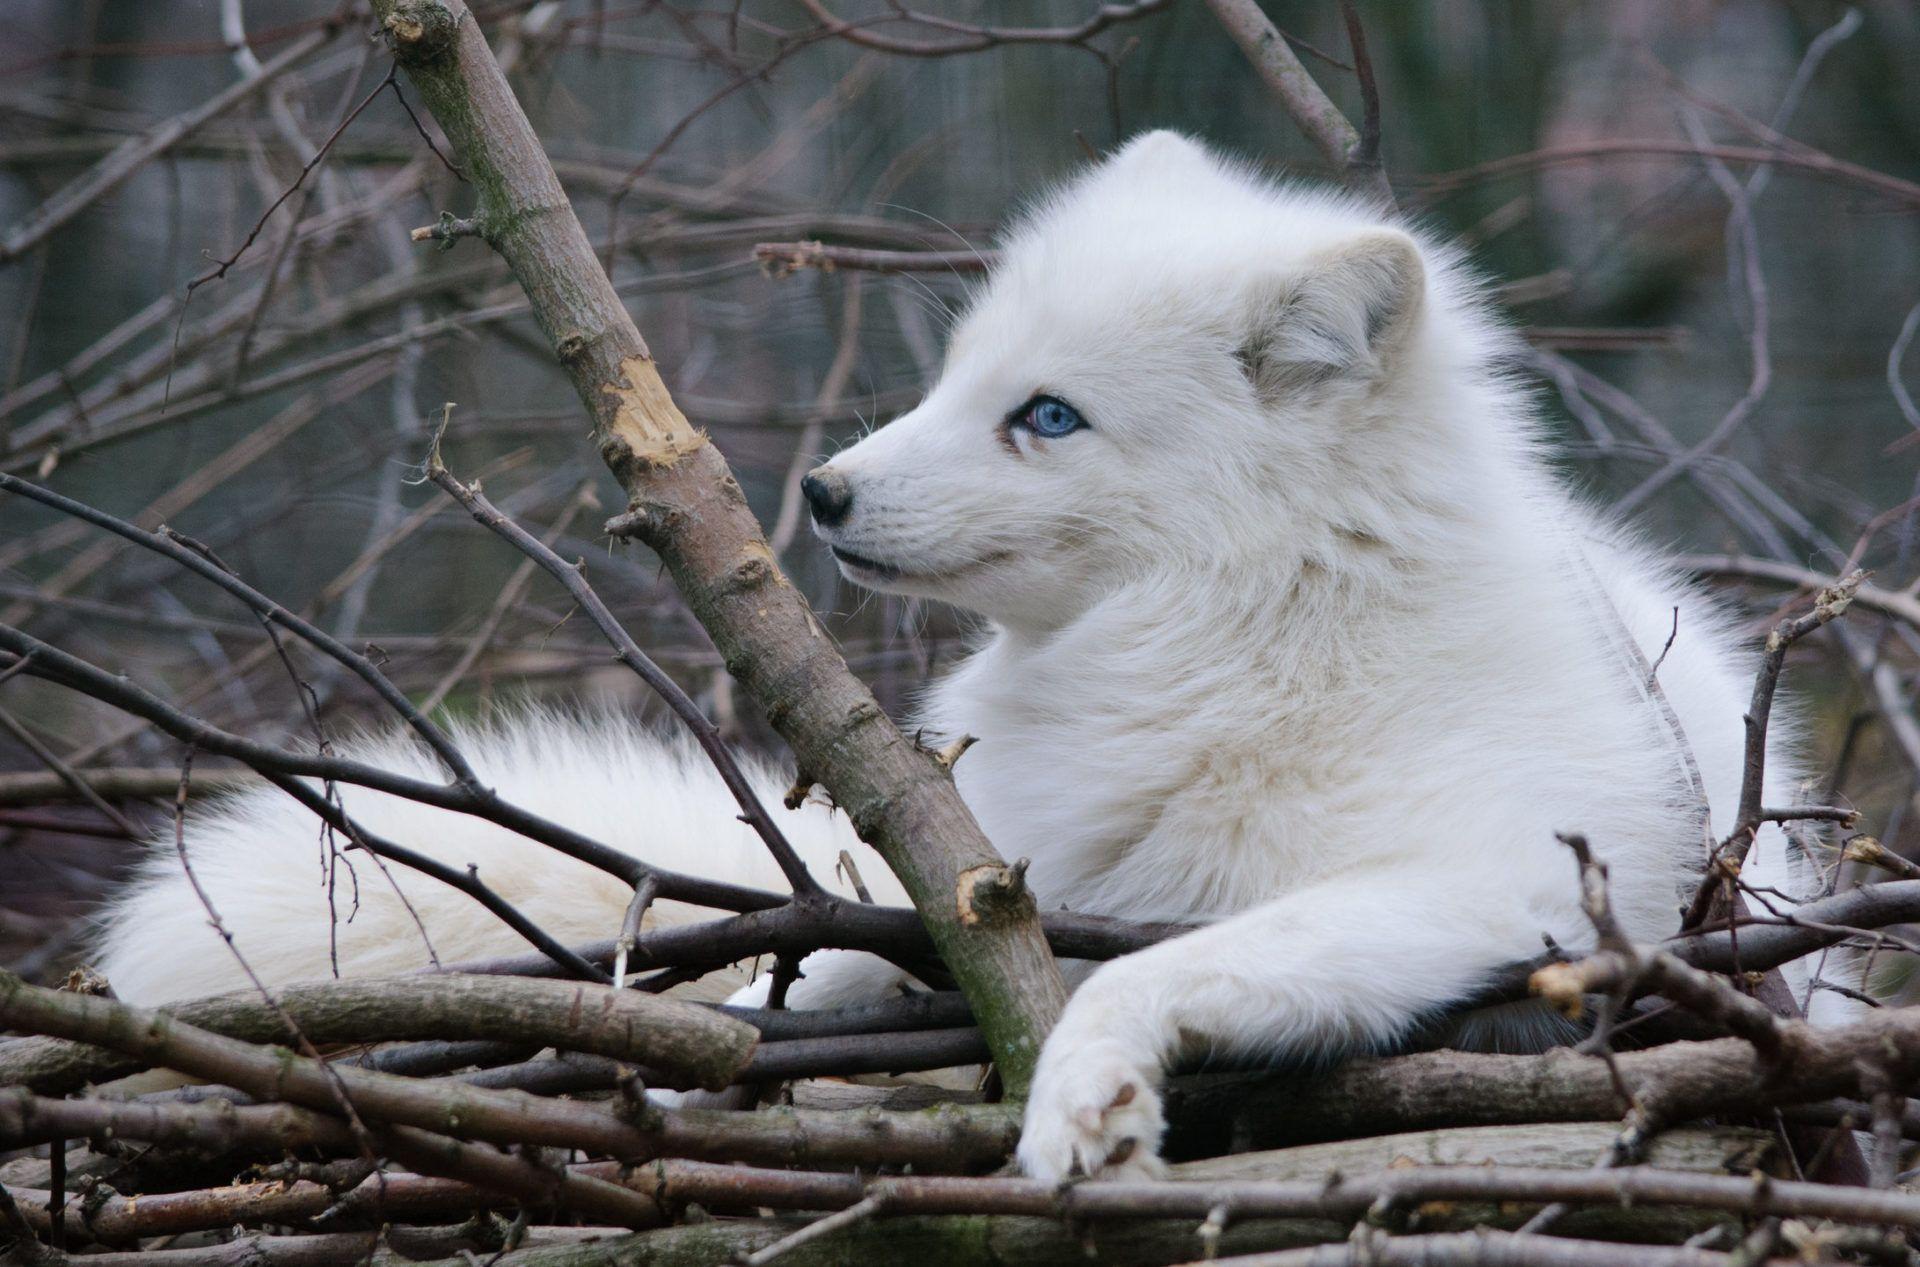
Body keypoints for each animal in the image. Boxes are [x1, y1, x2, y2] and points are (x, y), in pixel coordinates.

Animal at [93, 131, 1823, 1181]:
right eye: (959, 376)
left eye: (1045, 414)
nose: (822, 491)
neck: (1253, 626)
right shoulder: (983, 881)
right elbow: (819, 977)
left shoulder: (1502, 880)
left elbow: (1151, 962)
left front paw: (1084, 1091)